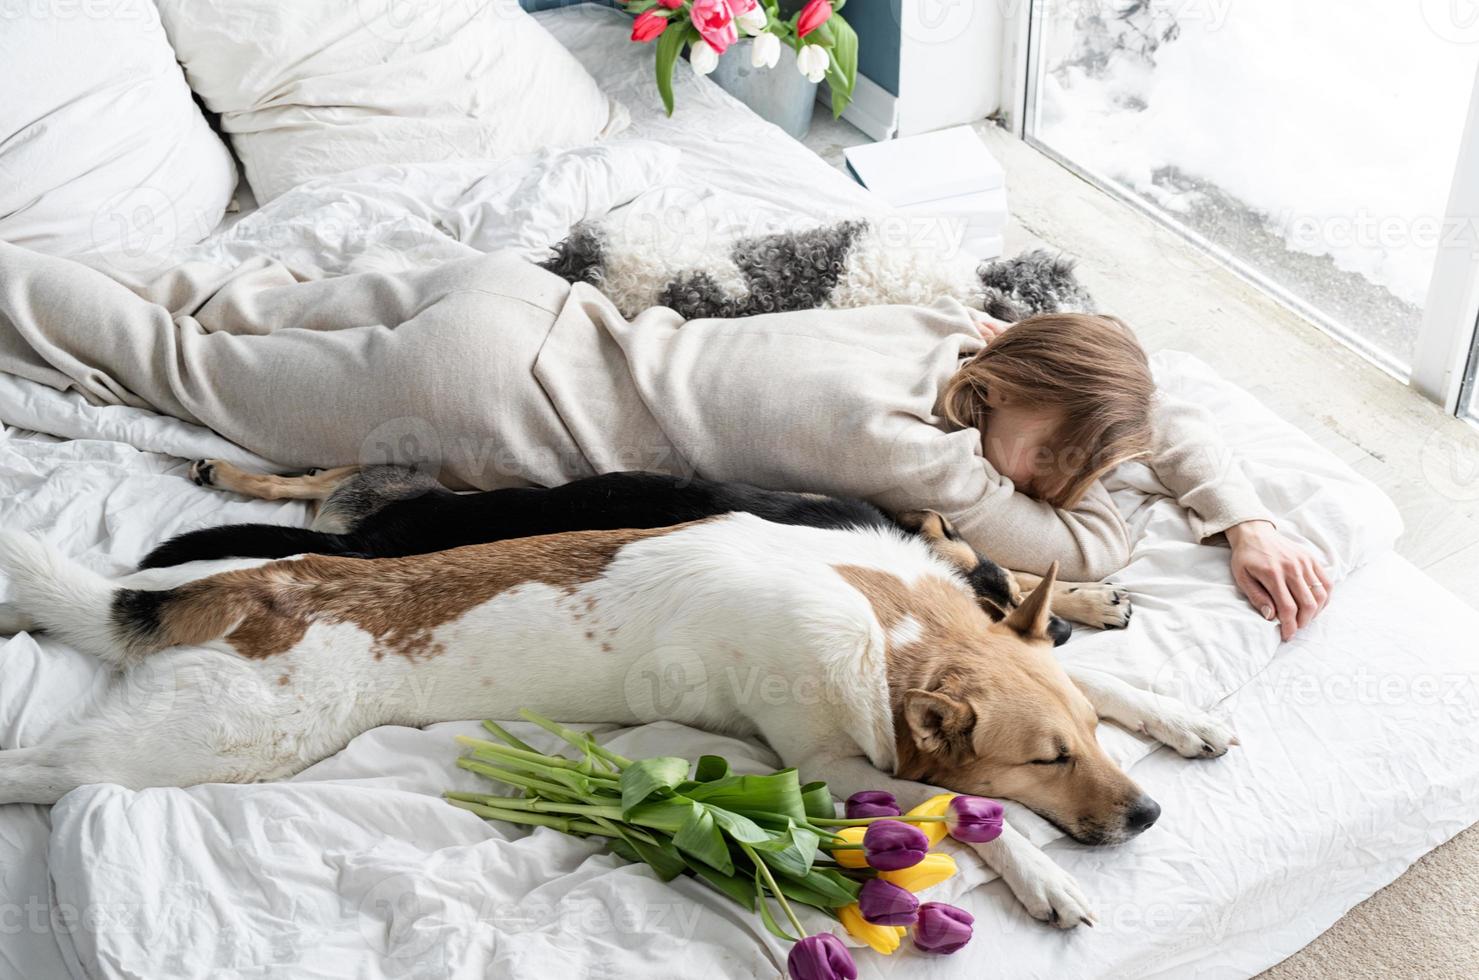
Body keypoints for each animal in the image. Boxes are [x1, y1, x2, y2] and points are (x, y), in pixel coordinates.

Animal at [0, 505, 1230, 928]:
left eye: (1087, 744)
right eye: (1046, 760)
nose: (1151, 818)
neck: (885, 625)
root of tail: (246, 587)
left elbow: (1107, 677)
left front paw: (1177, 714)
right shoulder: (832, 762)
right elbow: (984, 819)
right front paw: (1048, 876)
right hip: (201, 745)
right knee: (37, 766)